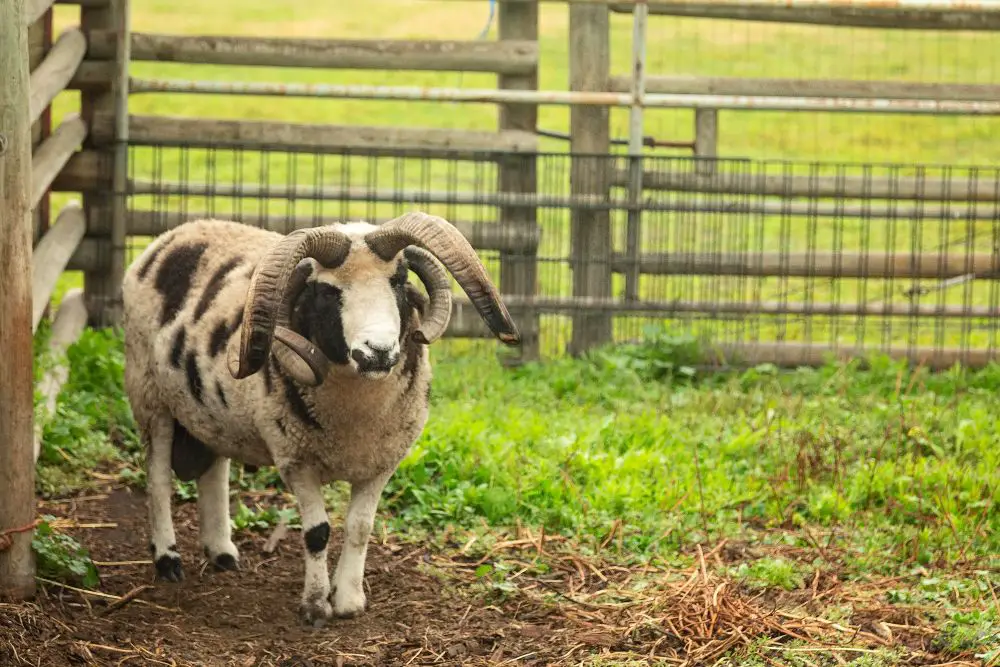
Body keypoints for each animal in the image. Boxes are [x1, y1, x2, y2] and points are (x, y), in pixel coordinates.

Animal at [121, 214, 520, 628]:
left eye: (397, 281)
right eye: (328, 292)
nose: (378, 352)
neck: (357, 415)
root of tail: (172, 235)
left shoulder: (382, 463)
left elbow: (360, 528)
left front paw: (349, 600)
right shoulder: (295, 460)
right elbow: (318, 532)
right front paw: (315, 606)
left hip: (211, 414)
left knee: (214, 471)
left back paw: (223, 553)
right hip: (149, 395)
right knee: (158, 478)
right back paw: (167, 559)